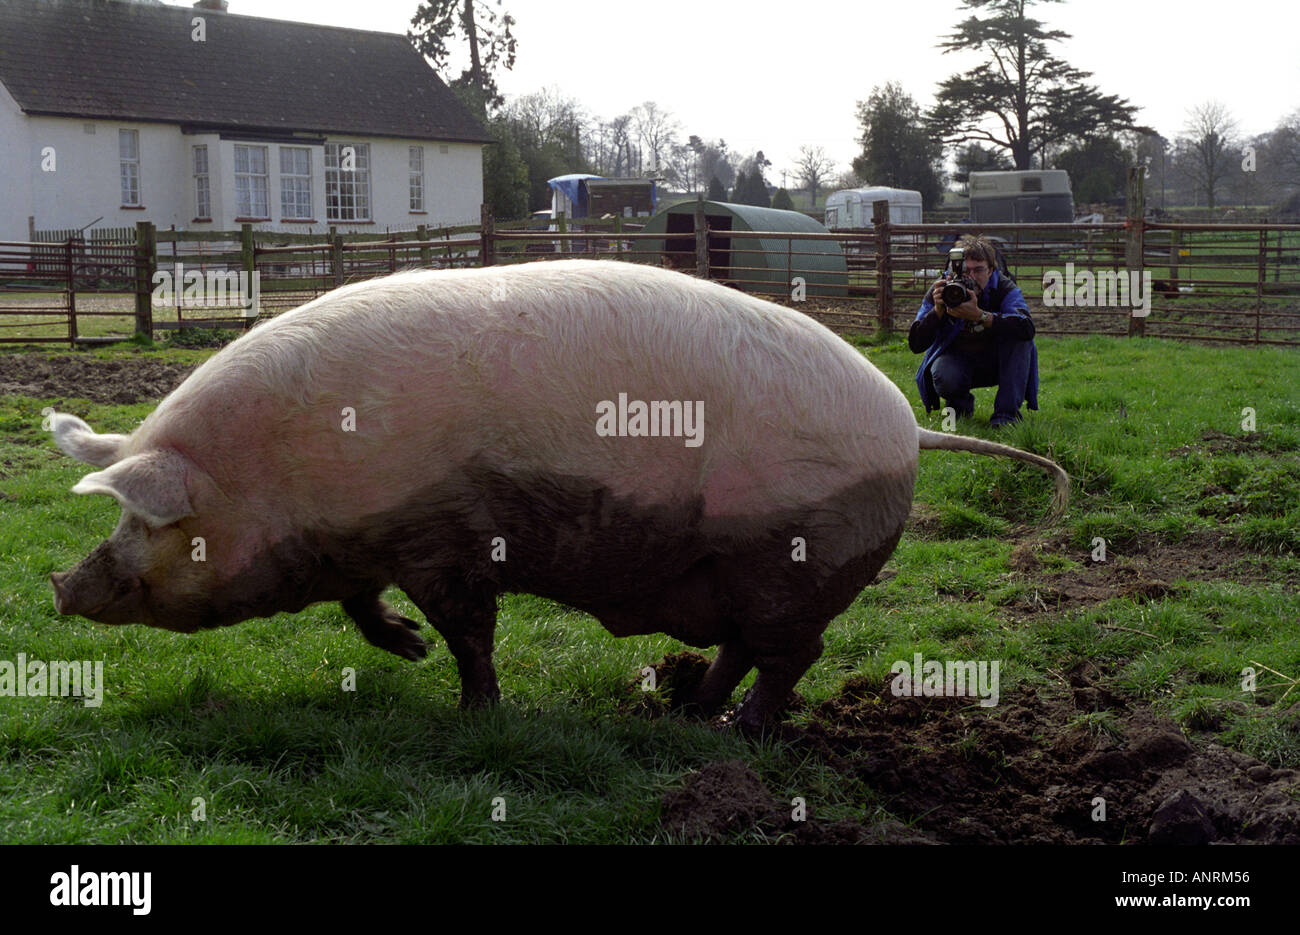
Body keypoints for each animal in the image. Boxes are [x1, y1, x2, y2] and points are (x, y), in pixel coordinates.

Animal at [48, 257, 1066, 733]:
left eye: (147, 521)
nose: (58, 584)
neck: (284, 474)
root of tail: (911, 428)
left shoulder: (445, 534)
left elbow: (470, 630)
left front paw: (470, 711)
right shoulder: (370, 538)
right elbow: (363, 606)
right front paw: (408, 650)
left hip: (795, 555)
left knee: (790, 655)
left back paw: (739, 730)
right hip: (744, 567)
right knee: (745, 645)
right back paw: (683, 711)